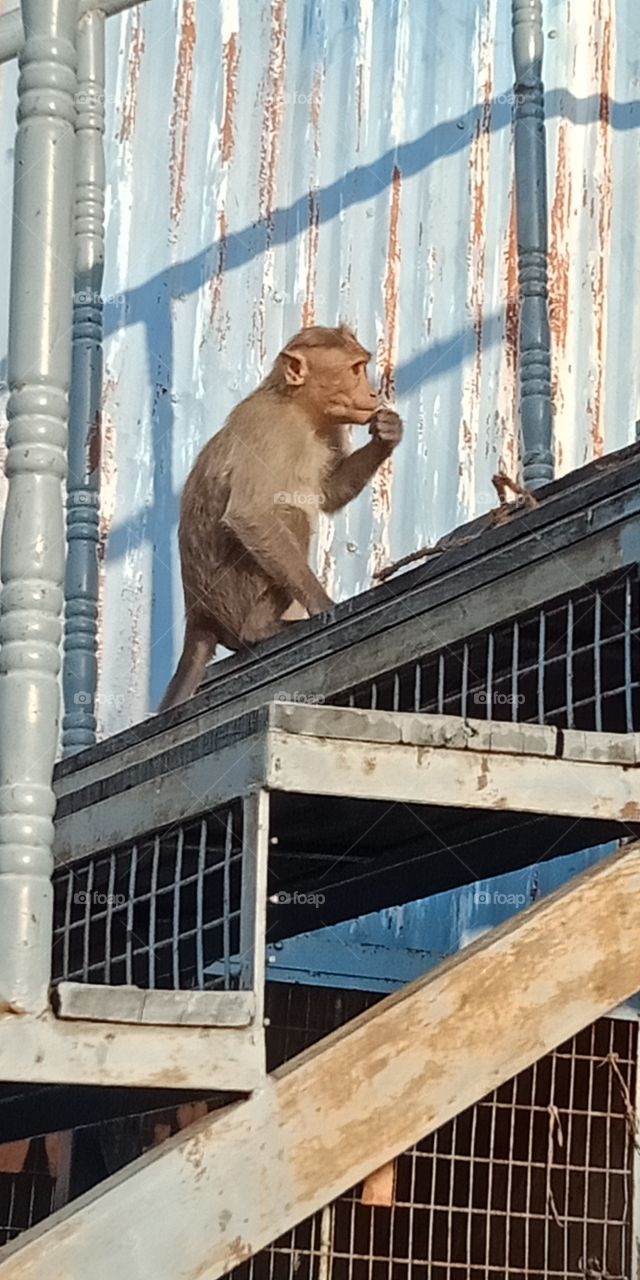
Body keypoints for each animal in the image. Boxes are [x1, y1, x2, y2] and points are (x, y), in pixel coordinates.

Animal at [157, 325, 403, 712]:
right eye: (355, 369)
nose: (372, 392)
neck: (300, 410)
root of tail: (199, 617)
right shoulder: (268, 428)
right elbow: (250, 513)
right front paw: (323, 606)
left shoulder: (329, 429)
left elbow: (330, 492)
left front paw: (387, 433)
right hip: (234, 595)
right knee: (290, 516)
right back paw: (258, 630)